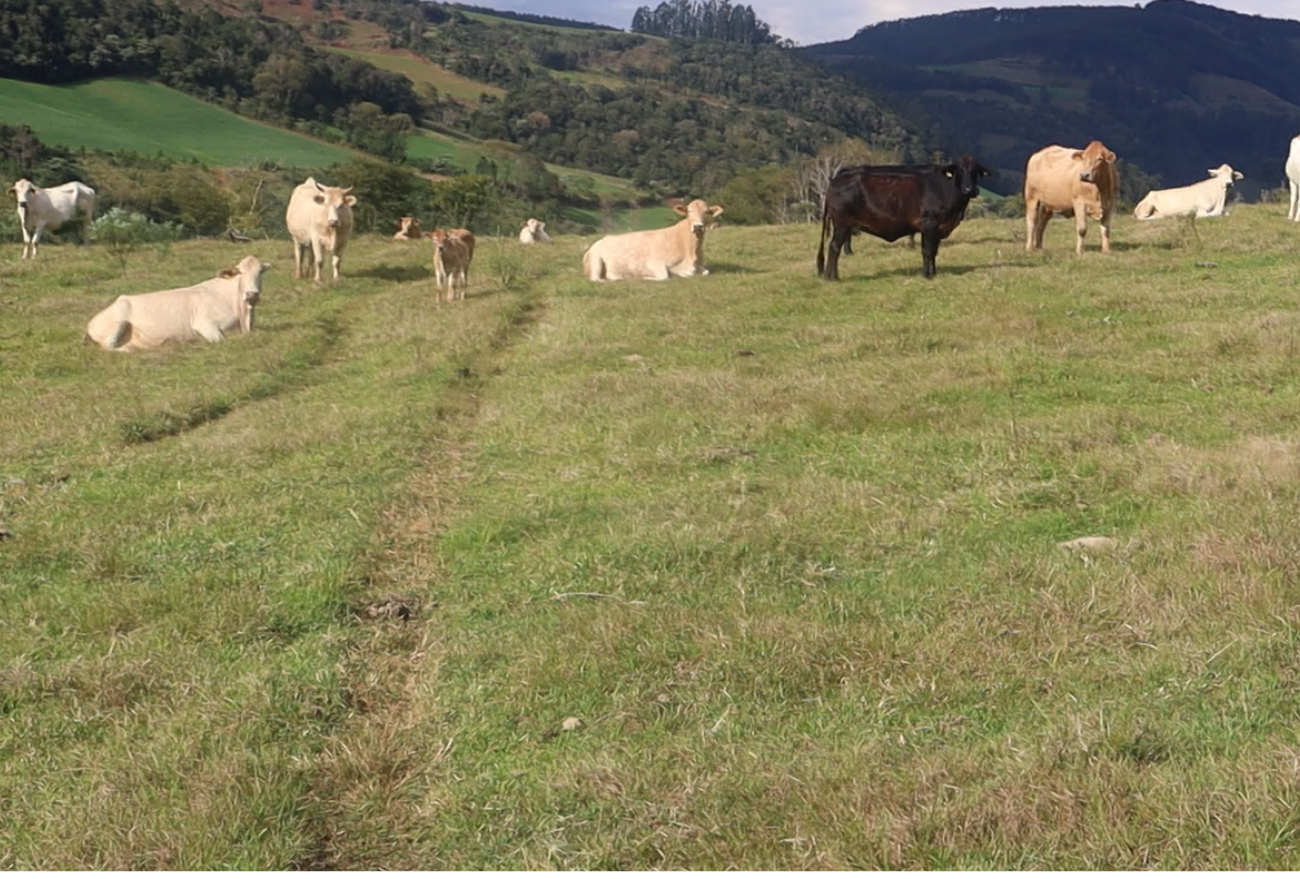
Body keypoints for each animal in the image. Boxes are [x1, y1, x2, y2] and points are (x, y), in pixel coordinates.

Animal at [84, 253, 269, 351]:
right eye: (240, 272)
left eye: (260, 272)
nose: (252, 294)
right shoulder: (204, 324)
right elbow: (223, 340)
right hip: (118, 322)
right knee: (108, 347)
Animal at [585, 198, 728, 282]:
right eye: (689, 211)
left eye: (707, 212)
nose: (698, 226)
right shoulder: (654, 262)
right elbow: (665, 277)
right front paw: (646, 277)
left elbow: (706, 272)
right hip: (596, 260)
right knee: (596, 279)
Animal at [816, 156, 987, 279]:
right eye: (959, 172)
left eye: (975, 172)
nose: (969, 190)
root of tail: (835, 180)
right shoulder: (929, 225)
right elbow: (927, 251)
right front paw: (926, 275)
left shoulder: (939, 227)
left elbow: (934, 252)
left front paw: (934, 273)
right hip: (842, 223)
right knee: (834, 247)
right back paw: (832, 277)